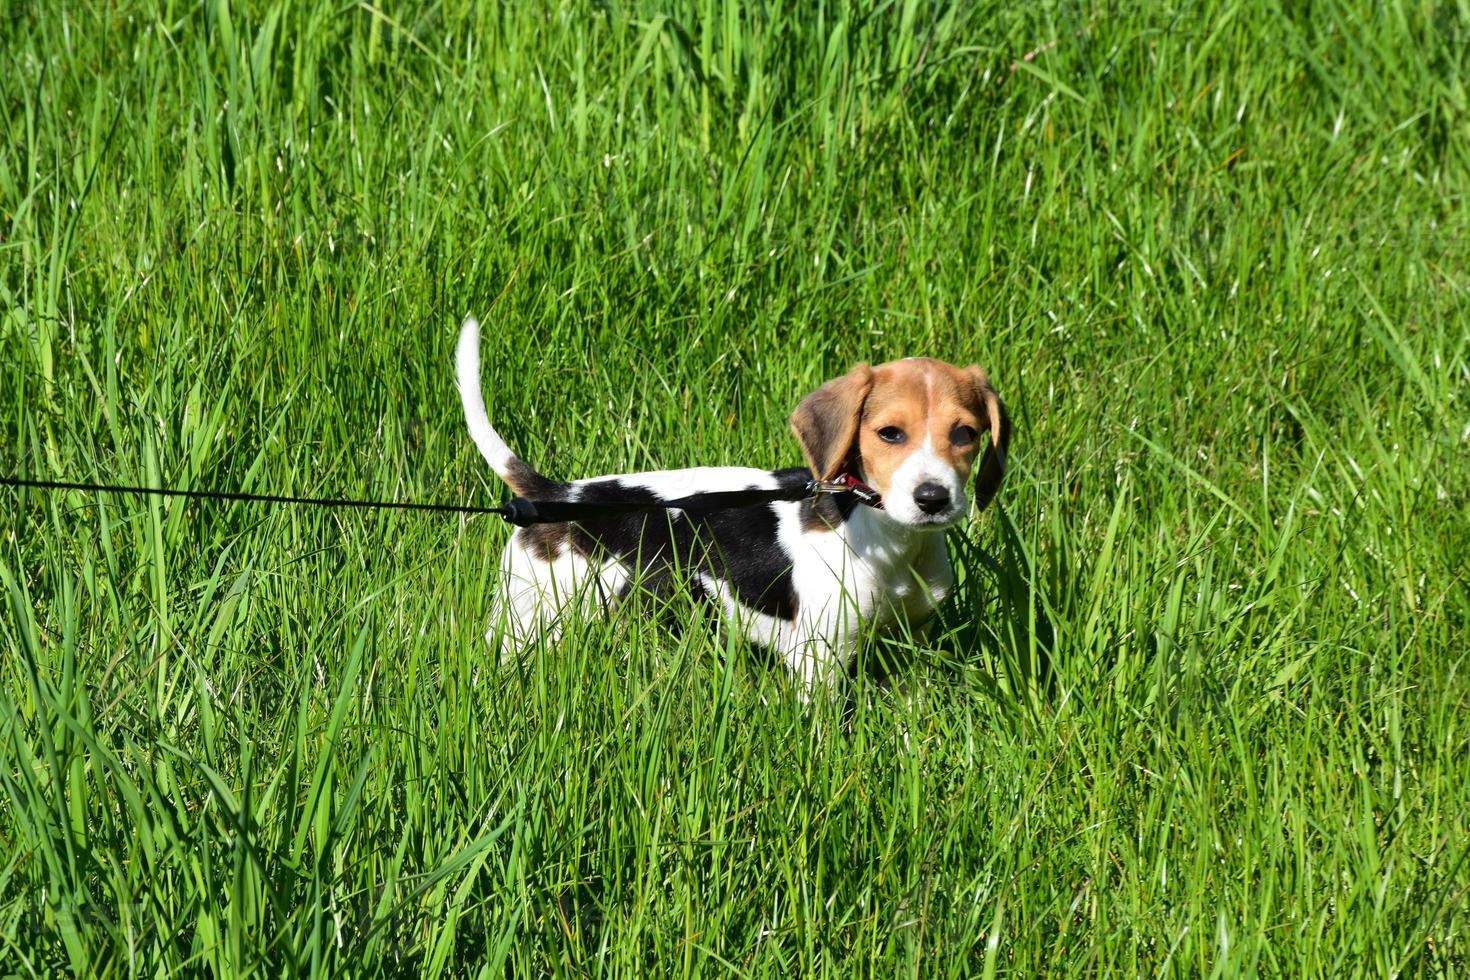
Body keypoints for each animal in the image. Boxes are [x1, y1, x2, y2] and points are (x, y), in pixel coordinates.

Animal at [458, 318, 1011, 687]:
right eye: (890, 433)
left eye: (964, 433)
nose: (933, 498)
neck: (891, 539)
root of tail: (557, 495)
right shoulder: (820, 657)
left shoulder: (913, 638)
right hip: (530, 617)